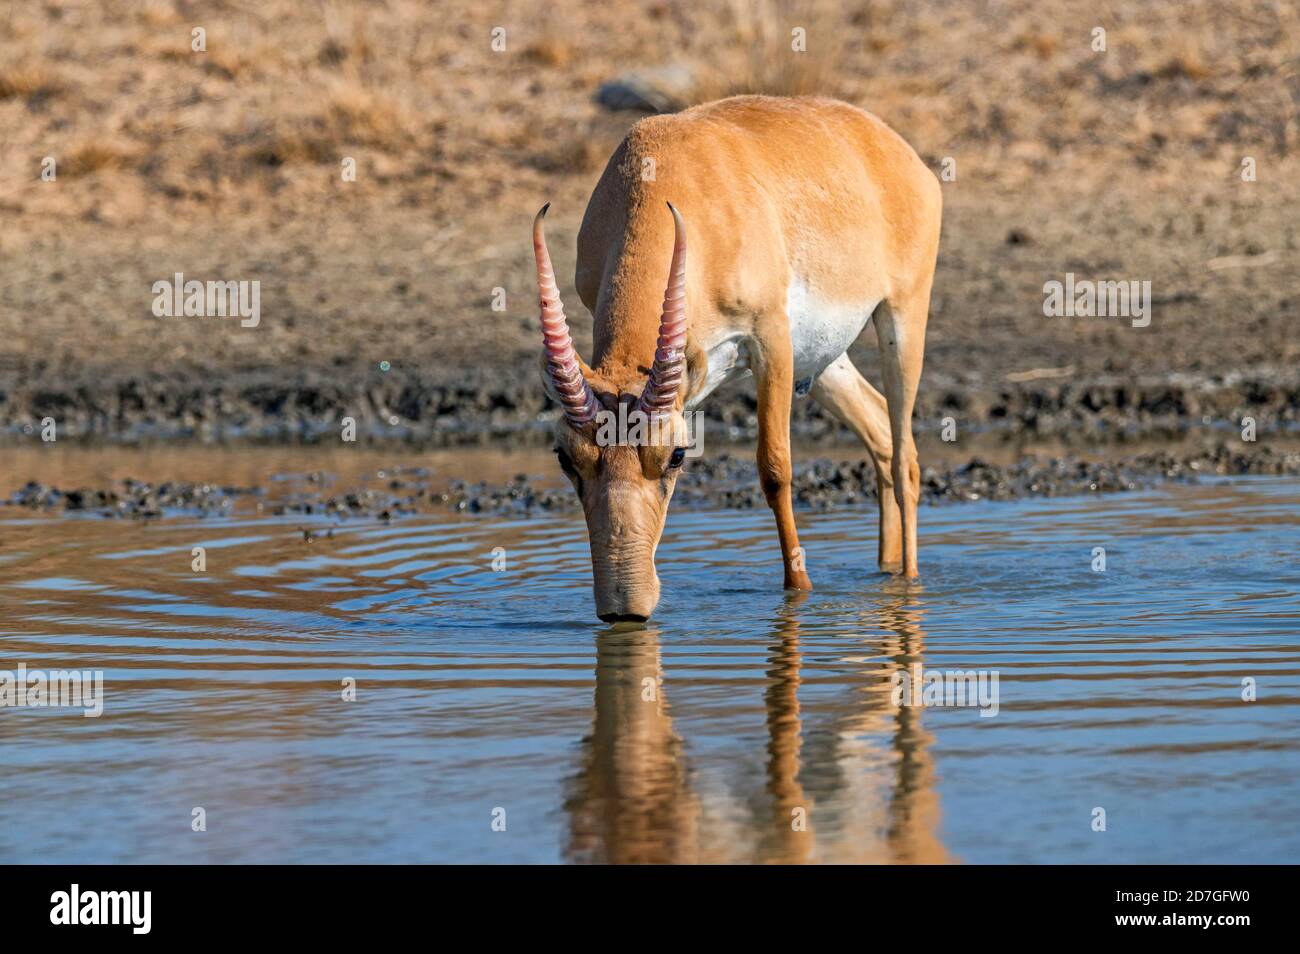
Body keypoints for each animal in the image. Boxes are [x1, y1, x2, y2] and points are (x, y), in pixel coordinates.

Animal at [533, 93, 941, 623]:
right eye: (566, 456)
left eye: (676, 455)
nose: (625, 608)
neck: (670, 174)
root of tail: (898, 151)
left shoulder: (771, 339)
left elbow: (774, 469)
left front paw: (799, 590)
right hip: (824, 361)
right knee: (881, 435)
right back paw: (886, 572)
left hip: (901, 317)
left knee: (906, 456)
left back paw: (908, 583)